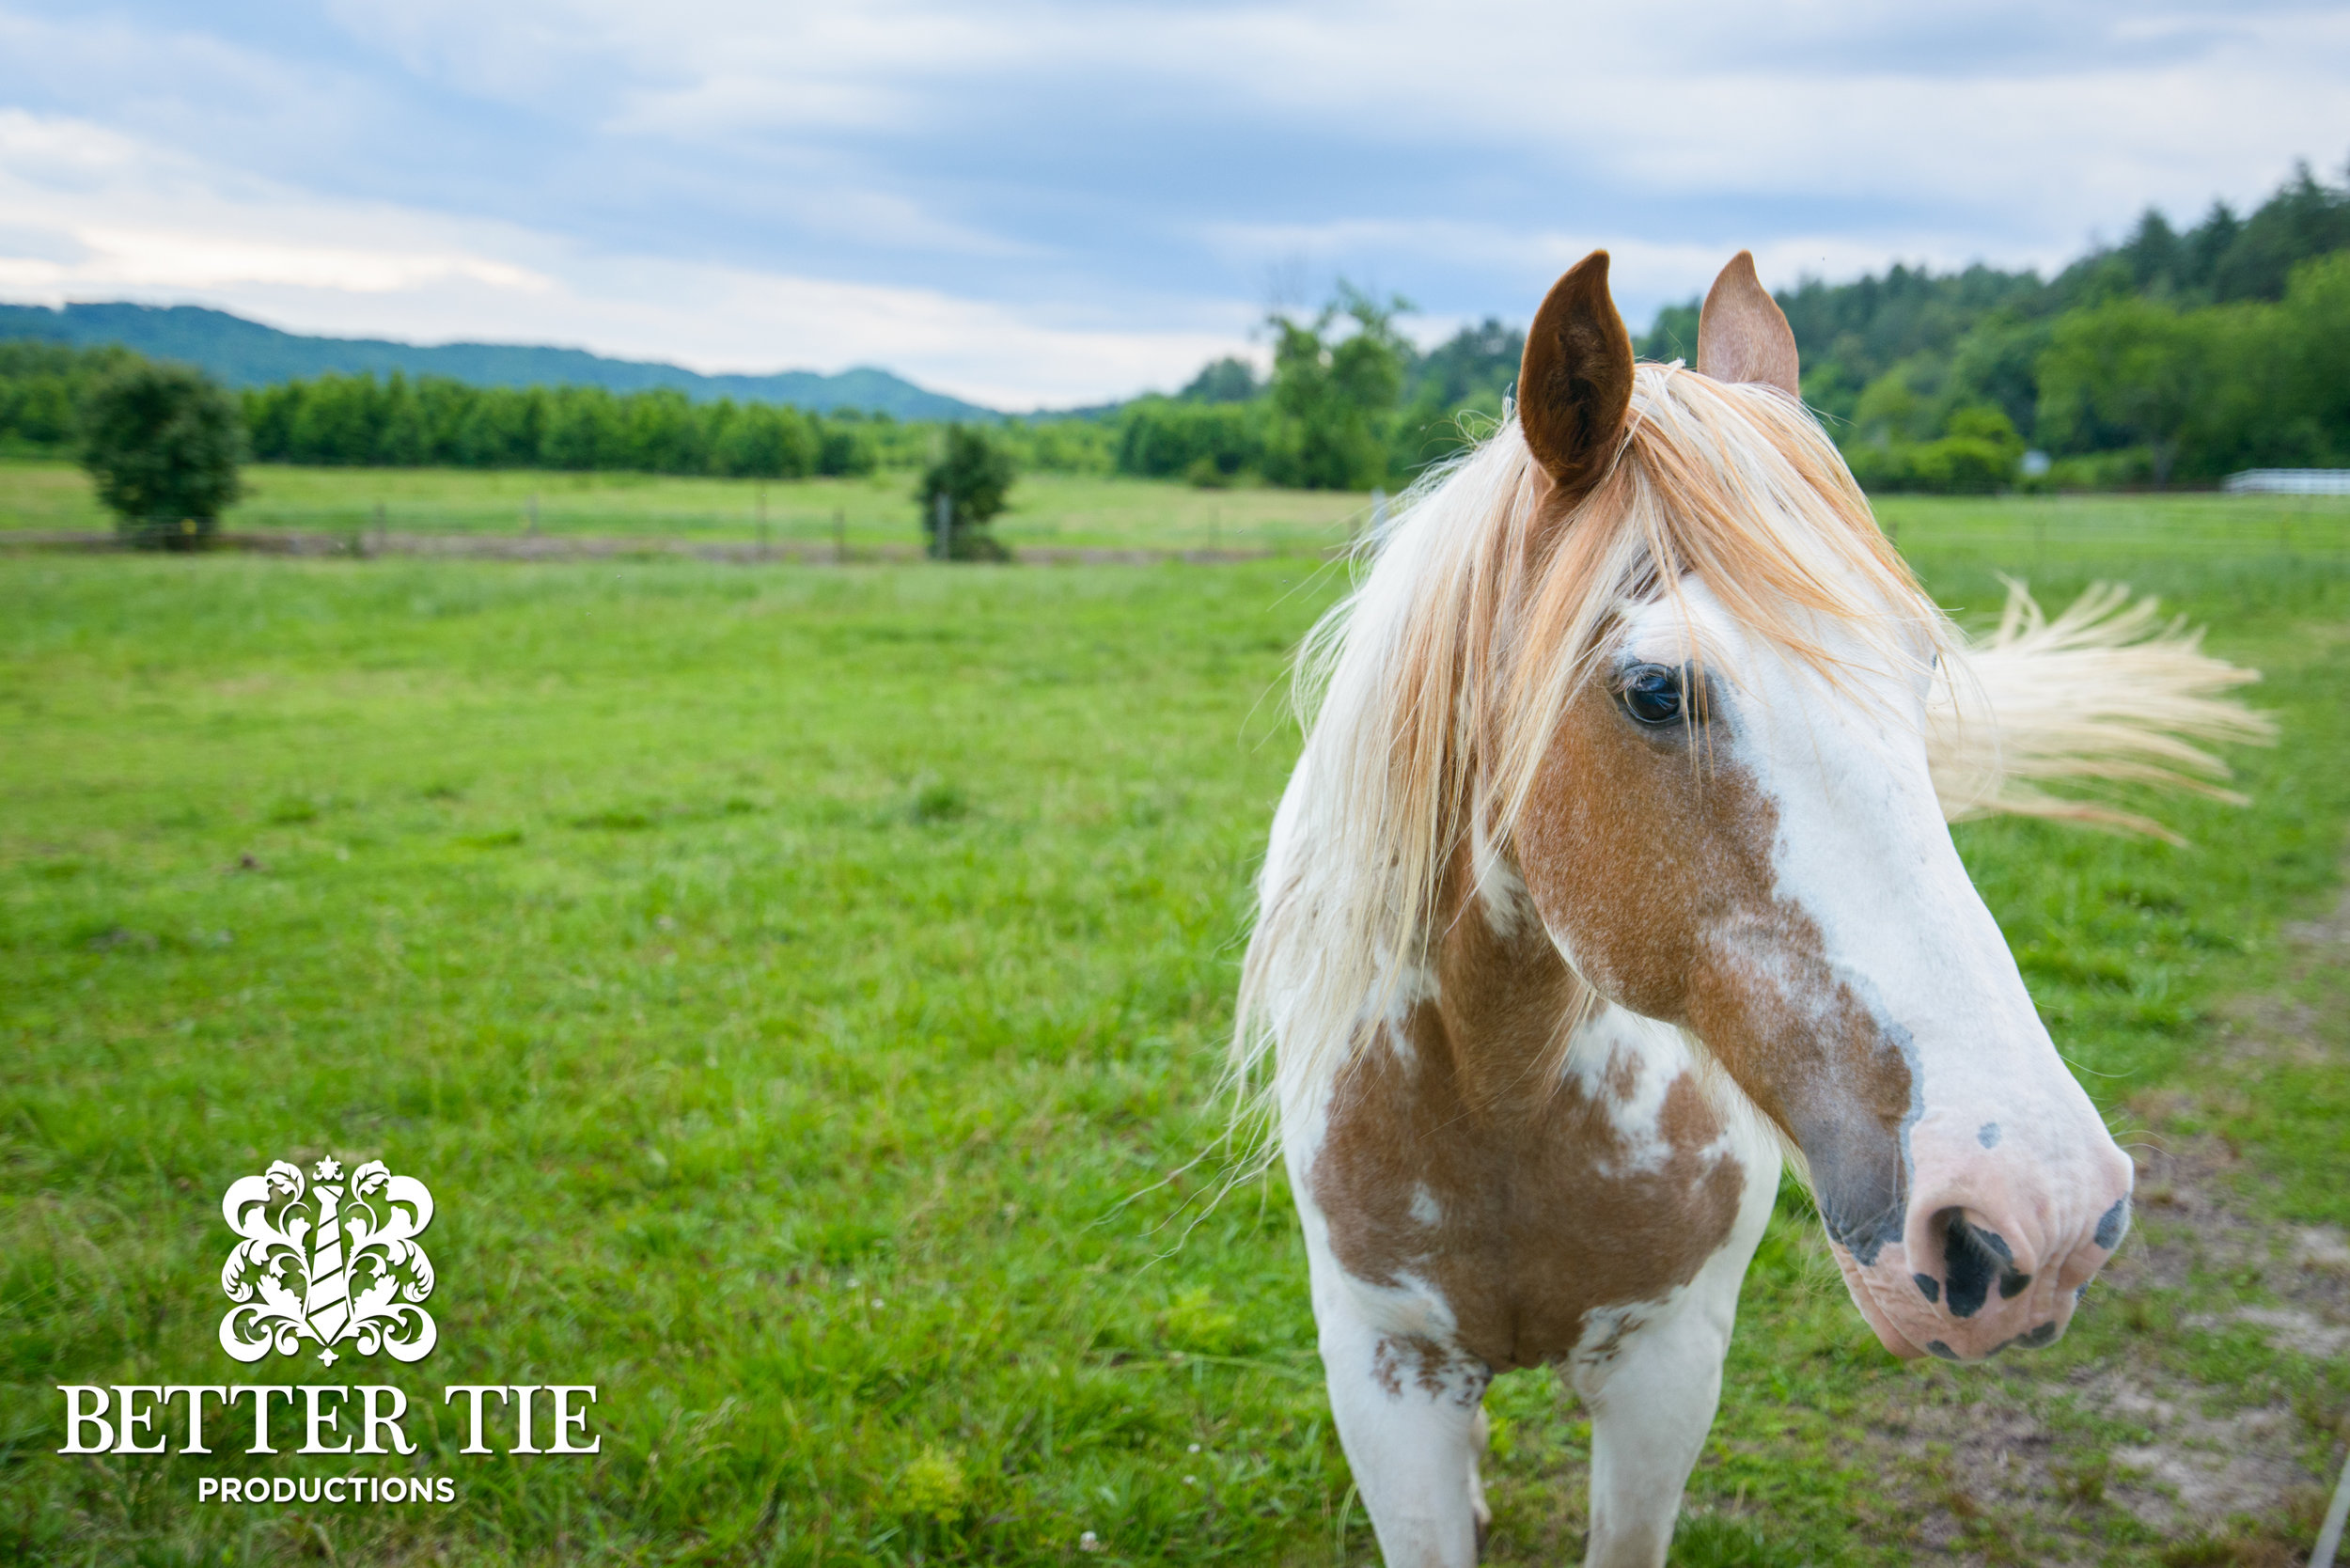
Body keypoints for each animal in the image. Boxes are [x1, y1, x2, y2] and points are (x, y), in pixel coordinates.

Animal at [1241, 251, 2265, 1560]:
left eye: (1920, 667)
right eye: (1652, 690)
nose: (2039, 1213)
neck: (1498, 1087)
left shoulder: (1666, 1372)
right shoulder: (1387, 1377)